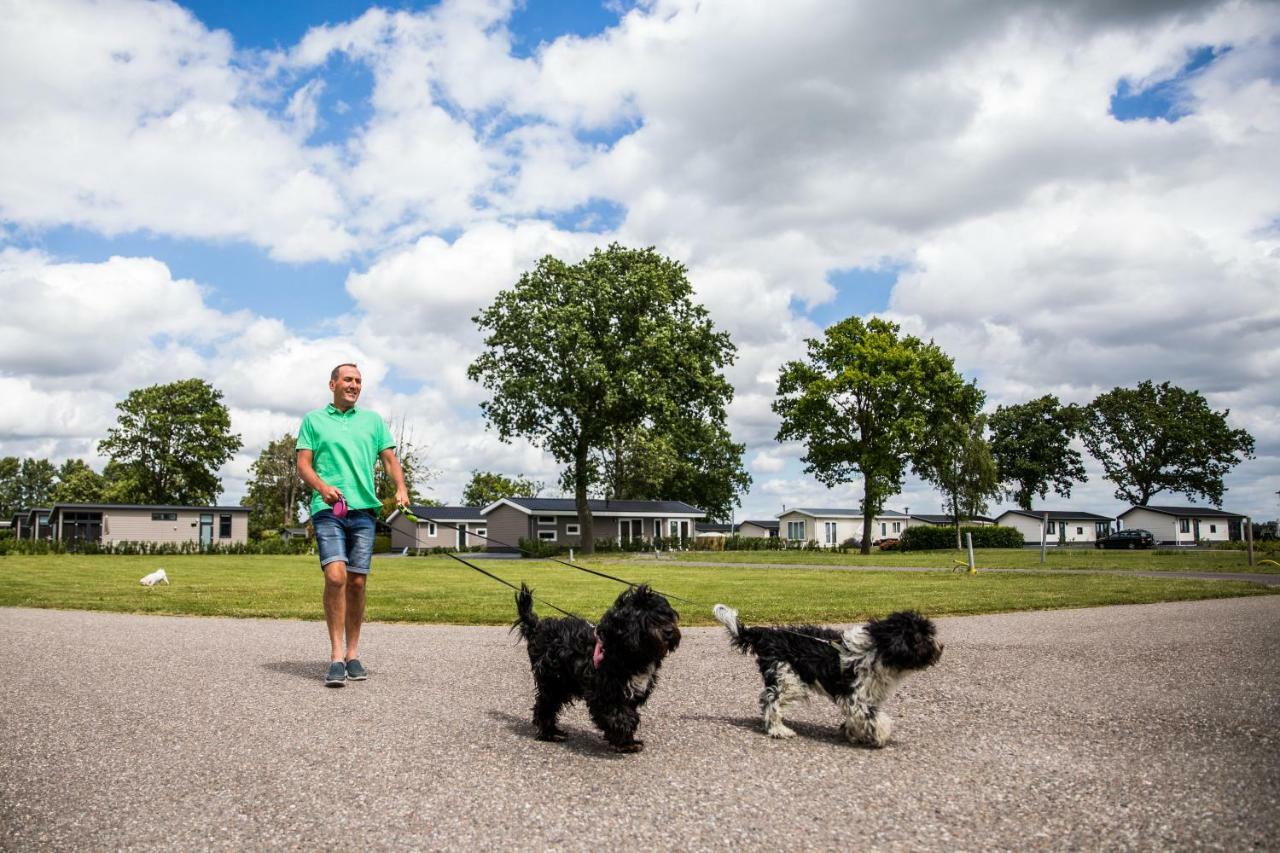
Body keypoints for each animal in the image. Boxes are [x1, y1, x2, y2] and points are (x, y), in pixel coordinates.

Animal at [509, 578, 680, 753]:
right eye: (645, 618)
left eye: (667, 615)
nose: (668, 631)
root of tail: (537, 627)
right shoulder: (603, 692)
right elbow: (620, 715)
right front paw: (623, 739)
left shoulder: (629, 694)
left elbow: (626, 713)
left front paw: (627, 741)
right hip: (553, 681)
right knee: (545, 705)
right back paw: (549, 733)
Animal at [711, 596, 942, 742]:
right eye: (922, 637)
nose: (941, 648)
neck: (877, 649)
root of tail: (767, 635)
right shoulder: (854, 694)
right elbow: (874, 718)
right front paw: (880, 734)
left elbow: (860, 718)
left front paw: (853, 732)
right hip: (788, 678)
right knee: (771, 702)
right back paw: (779, 729)